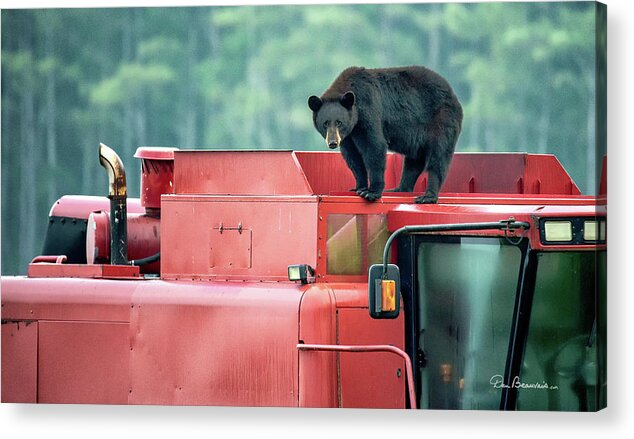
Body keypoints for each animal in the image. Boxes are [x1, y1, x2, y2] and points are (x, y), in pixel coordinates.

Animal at [308, 66, 462, 204]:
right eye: (325, 123)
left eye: (339, 122)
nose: (333, 142)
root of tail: (453, 94)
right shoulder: (349, 134)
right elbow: (353, 157)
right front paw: (358, 187)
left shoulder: (368, 112)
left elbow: (374, 146)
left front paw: (371, 192)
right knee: (414, 161)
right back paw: (399, 189)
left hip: (441, 121)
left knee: (438, 158)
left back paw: (428, 196)